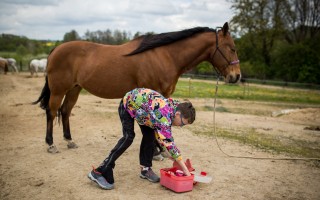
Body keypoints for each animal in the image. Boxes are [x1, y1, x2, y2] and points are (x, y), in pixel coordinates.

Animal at [34, 22, 240, 153]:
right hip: (59, 90)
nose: (236, 76)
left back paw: (70, 141)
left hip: (74, 89)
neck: (166, 55)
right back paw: (51, 145)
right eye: (231, 47)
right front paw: (157, 151)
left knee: (65, 111)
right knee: (51, 112)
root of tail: (56, 49)